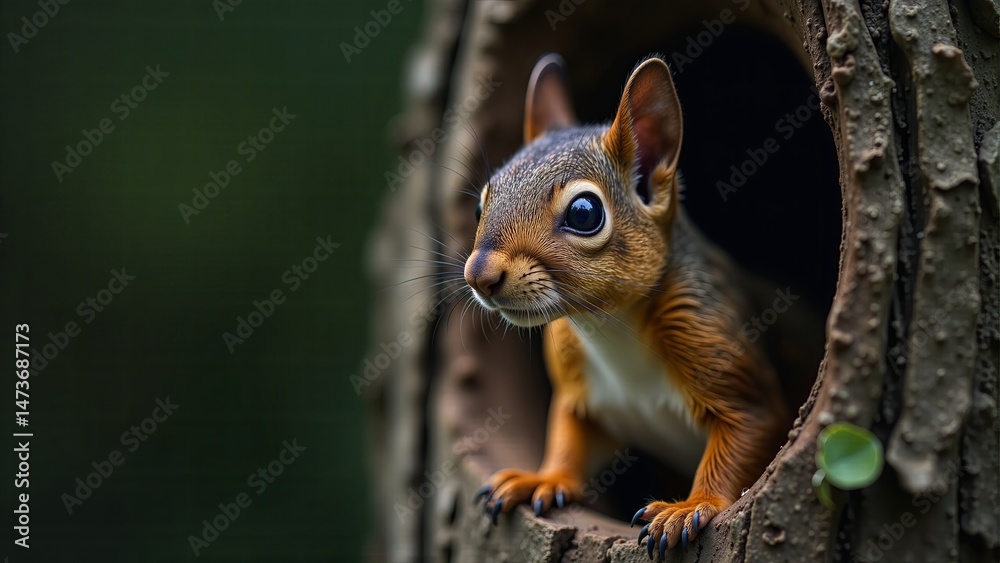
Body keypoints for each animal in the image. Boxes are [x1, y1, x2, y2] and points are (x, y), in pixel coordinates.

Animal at [463, 54, 791, 557]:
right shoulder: (578, 388)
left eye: (584, 213)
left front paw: (690, 506)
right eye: (482, 204)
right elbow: (570, 433)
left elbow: (744, 436)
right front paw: (543, 478)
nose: (478, 275)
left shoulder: (716, 347)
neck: (611, 329)